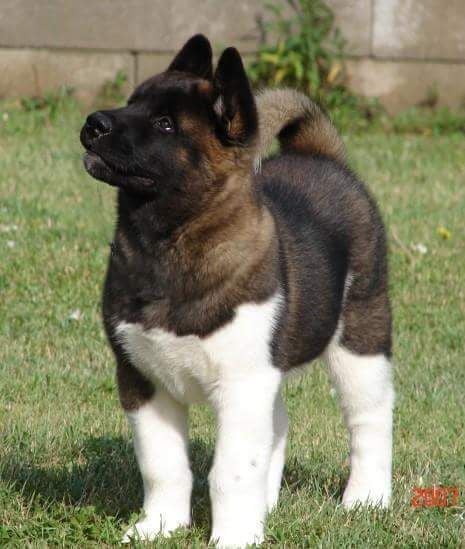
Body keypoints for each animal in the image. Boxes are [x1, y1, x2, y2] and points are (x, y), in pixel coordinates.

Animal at [80, 34, 394, 547]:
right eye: (131, 102)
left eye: (165, 124)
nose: (94, 122)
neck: (168, 240)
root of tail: (321, 155)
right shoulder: (141, 378)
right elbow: (162, 464)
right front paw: (160, 526)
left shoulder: (241, 385)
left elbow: (231, 471)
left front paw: (233, 537)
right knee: (278, 423)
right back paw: (267, 505)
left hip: (360, 335)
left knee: (369, 415)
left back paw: (366, 498)